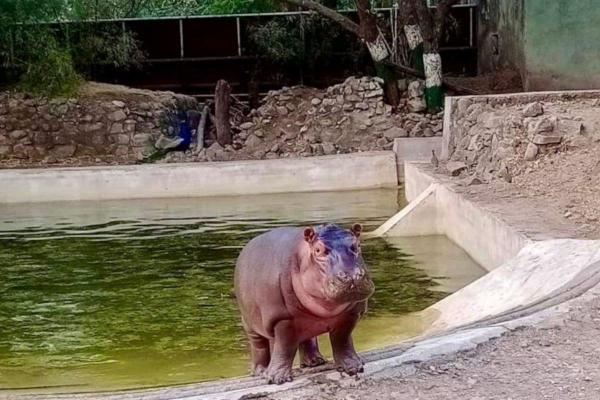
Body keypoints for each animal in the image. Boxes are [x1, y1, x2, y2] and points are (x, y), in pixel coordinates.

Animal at [234, 223, 376, 382]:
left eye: (358, 244)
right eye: (318, 250)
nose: (352, 276)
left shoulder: (351, 313)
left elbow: (342, 340)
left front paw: (354, 367)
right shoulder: (282, 319)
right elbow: (285, 346)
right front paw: (277, 379)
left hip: (307, 324)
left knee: (306, 339)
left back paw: (315, 362)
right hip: (250, 325)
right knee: (259, 346)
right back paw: (261, 372)